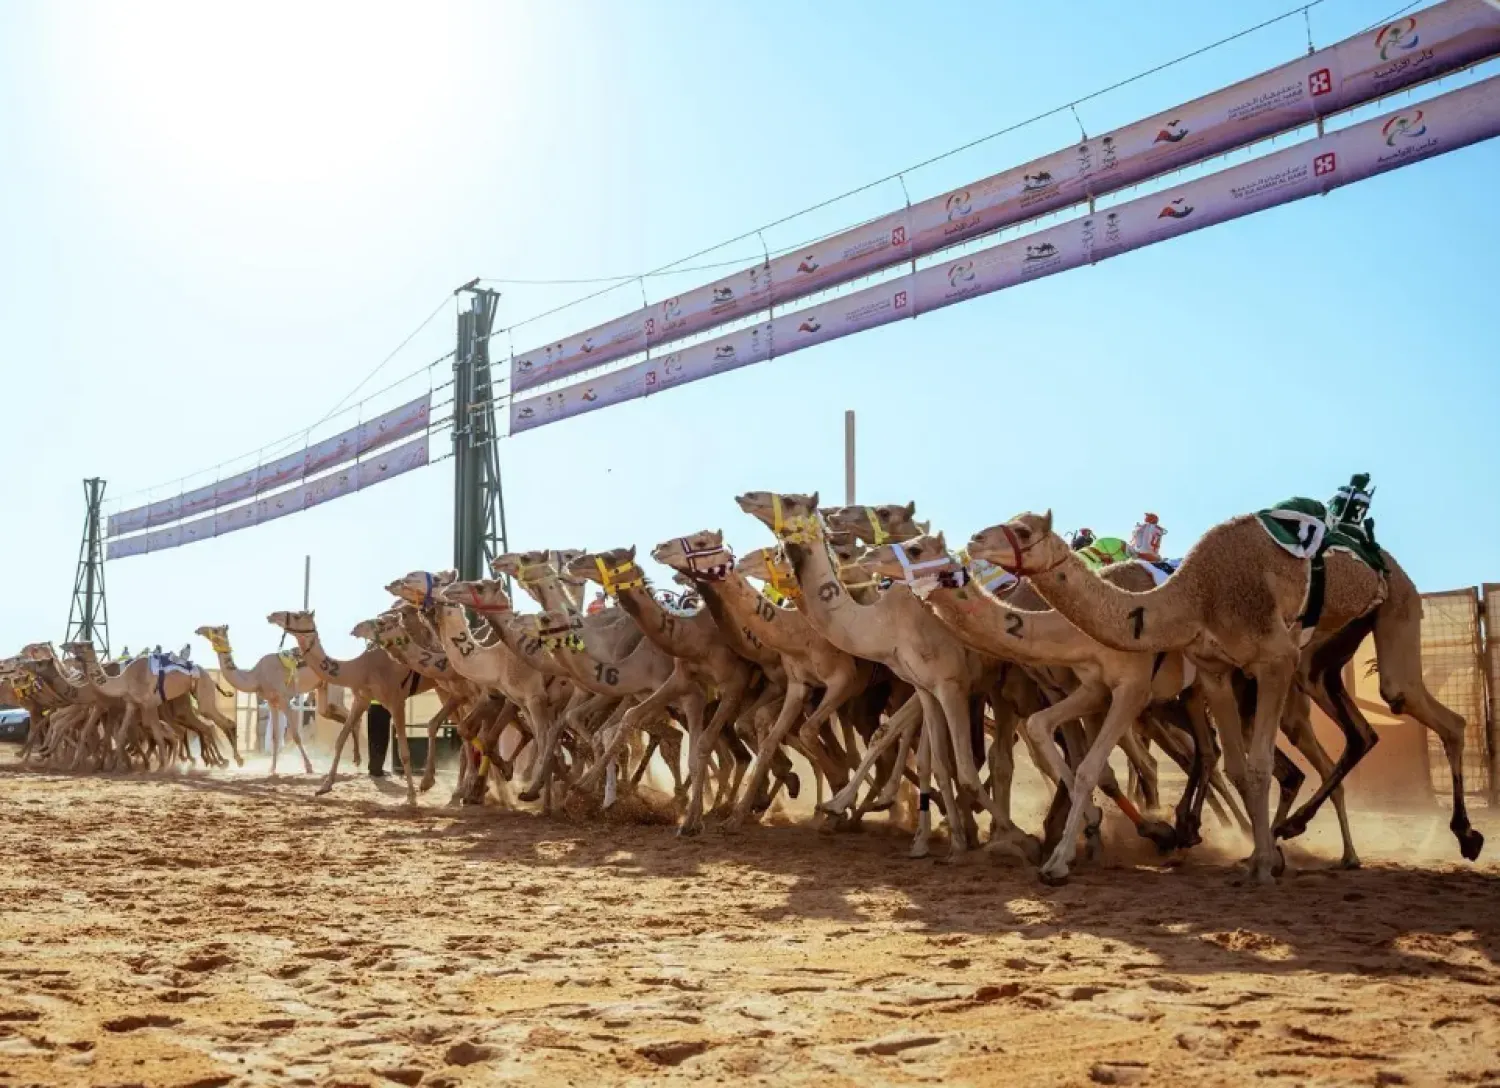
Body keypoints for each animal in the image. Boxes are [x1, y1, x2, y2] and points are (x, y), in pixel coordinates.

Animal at [196, 625, 321, 774]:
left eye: (215, 629)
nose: (199, 629)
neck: (256, 677)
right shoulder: (273, 702)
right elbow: (275, 736)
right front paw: (272, 768)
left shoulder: (284, 699)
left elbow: (296, 735)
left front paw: (309, 767)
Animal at [267, 610, 433, 806]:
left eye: (297, 615)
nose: (272, 615)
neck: (362, 668)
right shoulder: (361, 699)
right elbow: (340, 739)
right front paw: (325, 786)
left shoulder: (397, 701)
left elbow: (404, 751)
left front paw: (411, 797)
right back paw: (430, 782)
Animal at [968, 510, 1481, 884]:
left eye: (1022, 529)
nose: (974, 541)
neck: (1188, 598)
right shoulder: (1209, 675)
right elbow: (1231, 765)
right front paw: (1251, 853)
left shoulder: (1268, 661)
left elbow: (1248, 766)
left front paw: (1257, 860)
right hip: (1319, 663)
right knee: (1354, 736)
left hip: (1391, 613)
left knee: (1420, 710)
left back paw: (1459, 835)